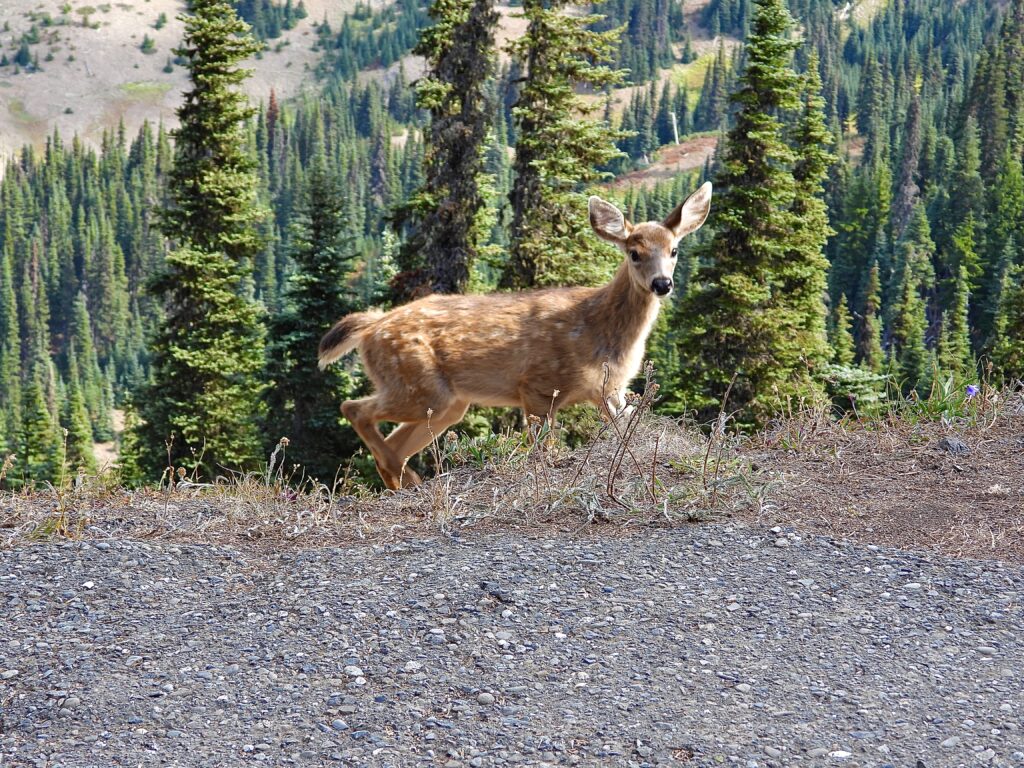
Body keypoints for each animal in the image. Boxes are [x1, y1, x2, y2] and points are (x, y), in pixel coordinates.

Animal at [317, 183, 712, 489]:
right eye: (634, 253)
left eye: (674, 250)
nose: (662, 283)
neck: (600, 330)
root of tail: (371, 327)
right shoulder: (537, 385)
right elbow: (544, 449)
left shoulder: (609, 391)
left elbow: (626, 427)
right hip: (417, 384)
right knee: (353, 408)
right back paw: (410, 479)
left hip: (446, 402)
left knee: (394, 441)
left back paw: (407, 482)